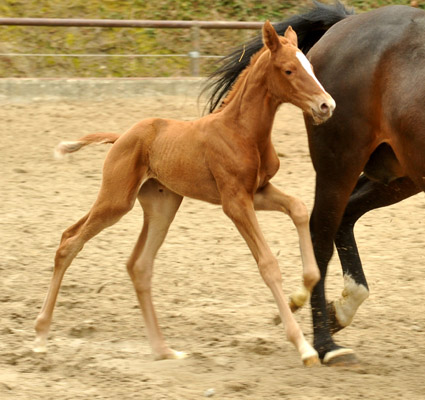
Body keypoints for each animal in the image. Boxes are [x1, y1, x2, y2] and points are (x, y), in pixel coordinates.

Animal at [34, 21, 334, 366]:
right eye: (288, 70)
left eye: (310, 67)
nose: (326, 105)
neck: (242, 132)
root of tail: (121, 136)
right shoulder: (235, 202)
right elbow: (268, 264)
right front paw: (303, 346)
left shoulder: (258, 191)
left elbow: (298, 208)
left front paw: (299, 295)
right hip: (116, 200)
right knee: (69, 242)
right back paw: (40, 336)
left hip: (162, 205)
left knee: (139, 265)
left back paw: (163, 349)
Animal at [204, 1, 422, 366]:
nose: (324, 104)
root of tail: (345, 23)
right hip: (341, 163)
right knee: (321, 234)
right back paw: (324, 342)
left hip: (399, 173)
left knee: (345, 215)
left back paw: (336, 311)